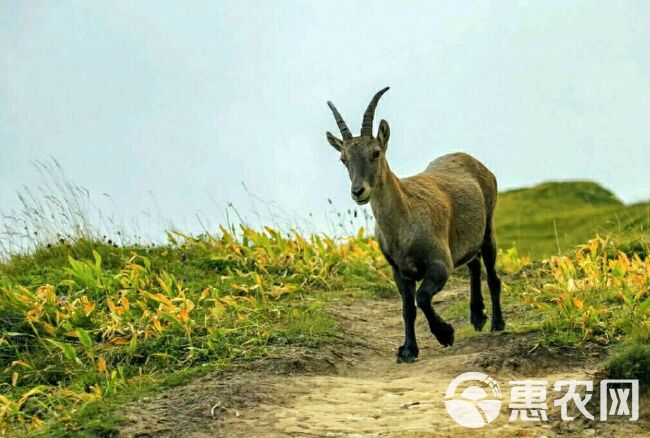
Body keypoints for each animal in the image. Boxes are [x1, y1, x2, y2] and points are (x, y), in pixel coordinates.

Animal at [326, 86, 504, 362]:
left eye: (375, 152)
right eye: (343, 159)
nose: (358, 191)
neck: (404, 226)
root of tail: (474, 162)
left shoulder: (440, 265)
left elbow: (422, 298)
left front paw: (445, 334)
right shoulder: (399, 271)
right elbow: (407, 308)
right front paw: (408, 350)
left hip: (488, 227)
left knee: (492, 275)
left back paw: (497, 323)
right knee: (473, 264)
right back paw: (477, 316)